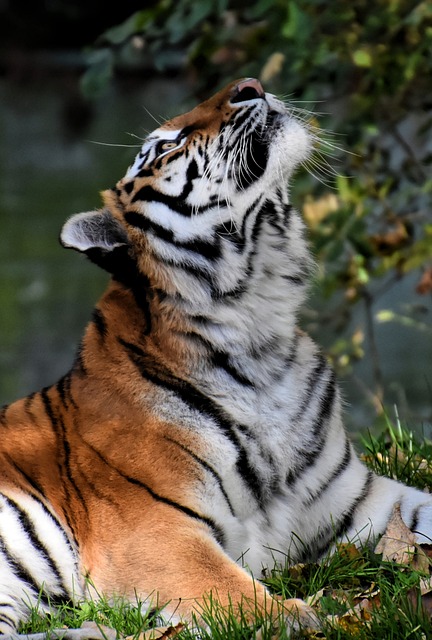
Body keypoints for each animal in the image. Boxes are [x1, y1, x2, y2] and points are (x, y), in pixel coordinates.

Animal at [0, 77, 432, 636]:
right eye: (167, 146)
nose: (251, 85)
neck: (257, 331)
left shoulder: (356, 499)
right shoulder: (152, 529)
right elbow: (233, 592)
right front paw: (300, 616)